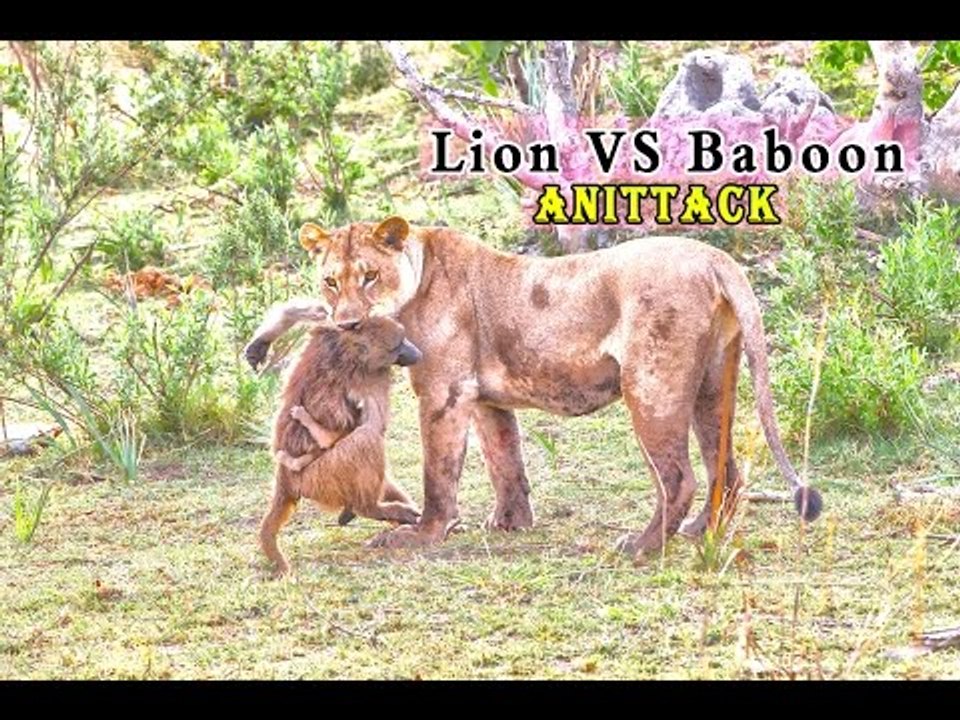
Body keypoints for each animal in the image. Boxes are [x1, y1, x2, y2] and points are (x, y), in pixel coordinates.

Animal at [256, 315, 423, 576]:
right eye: (398, 345)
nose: (418, 353)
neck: (347, 347)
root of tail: (285, 478)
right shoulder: (374, 378)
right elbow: (374, 424)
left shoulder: (325, 333)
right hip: (318, 479)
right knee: (367, 439)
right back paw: (368, 508)